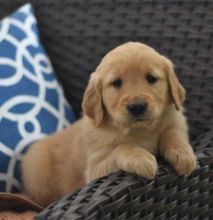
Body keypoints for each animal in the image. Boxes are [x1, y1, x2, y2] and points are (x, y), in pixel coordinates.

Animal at [21, 41, 196, 206]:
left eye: (151, 78)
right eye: (116, 83)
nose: (137, 106)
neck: (139, 130)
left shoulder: (176, 120)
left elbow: (172, 133)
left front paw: (183, 154)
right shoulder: (95, 170)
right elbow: (121, 148)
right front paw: (140, 158)